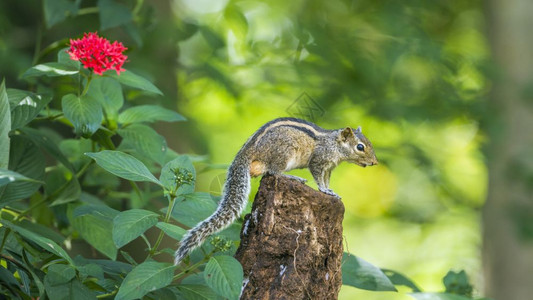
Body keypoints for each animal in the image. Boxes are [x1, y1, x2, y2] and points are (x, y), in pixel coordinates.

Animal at [172, 117, 376, 264]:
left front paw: (331, 191)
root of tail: (250, 149)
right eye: (360, 147)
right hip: (284, 153)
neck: (334, 145)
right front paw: (325, 190)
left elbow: (325, 180)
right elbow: (318, 178)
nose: (375, 162)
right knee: (273, 171)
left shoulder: (329, 168)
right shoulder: (319, 162)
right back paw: (294, 178)